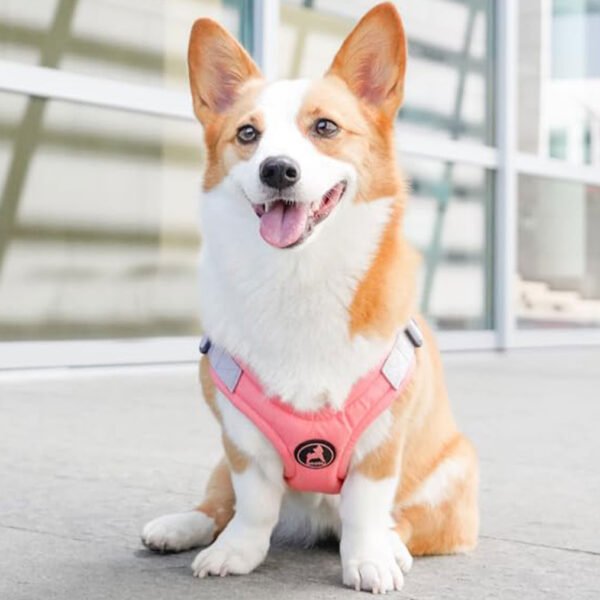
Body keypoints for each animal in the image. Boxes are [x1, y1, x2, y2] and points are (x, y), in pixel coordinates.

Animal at [142, 3, 478, 596]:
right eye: (247, 133)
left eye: (325, 127)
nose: (277, 169)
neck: (298, 276)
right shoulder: (239, 438)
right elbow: (252, 503)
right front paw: (237, 553)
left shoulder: (382, 445)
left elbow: (367, 507)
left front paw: (368, 560)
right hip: (219, 465)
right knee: (218, 502)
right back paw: (179, 526)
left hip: (455, 473)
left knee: (405, 520)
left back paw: (392, 548)